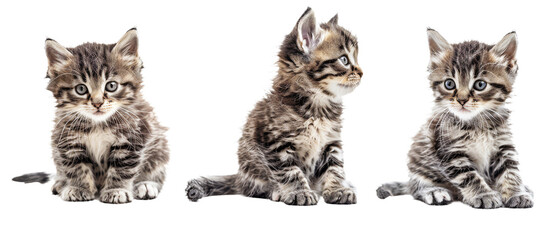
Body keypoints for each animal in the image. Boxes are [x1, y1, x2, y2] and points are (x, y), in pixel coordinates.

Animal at [12, 28, 170, 204]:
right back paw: (61, 183)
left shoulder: (132, 139)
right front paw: (79, 188)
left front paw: (116, 190)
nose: (97, 103)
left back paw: (146, 184)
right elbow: (76, 167)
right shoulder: (67, 140)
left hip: (159, 145)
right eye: (81, 89)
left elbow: (122, 168)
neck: (98, 124)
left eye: (111, 86)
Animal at [186, 8, 366, 205]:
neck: (317, 108)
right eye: (344, 60)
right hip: (252, 167)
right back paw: (275, 191)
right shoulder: (275, 144)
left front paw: (338, 189)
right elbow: (290, 171)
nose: (362, 73)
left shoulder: (331, 143)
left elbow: (335, 168)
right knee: (254, 188)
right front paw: (299, 192)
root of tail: (240, 177)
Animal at [376, 28, 532, 208]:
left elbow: (510, 171)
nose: (462, 100)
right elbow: (469, 176)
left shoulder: (503, 146)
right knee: (415, 186)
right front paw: (484, 194)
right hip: (419, 160)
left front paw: (517, 193)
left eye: (480, 85)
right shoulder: (451, 152)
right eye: (449, 84)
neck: (476, 124)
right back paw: (433, 191)